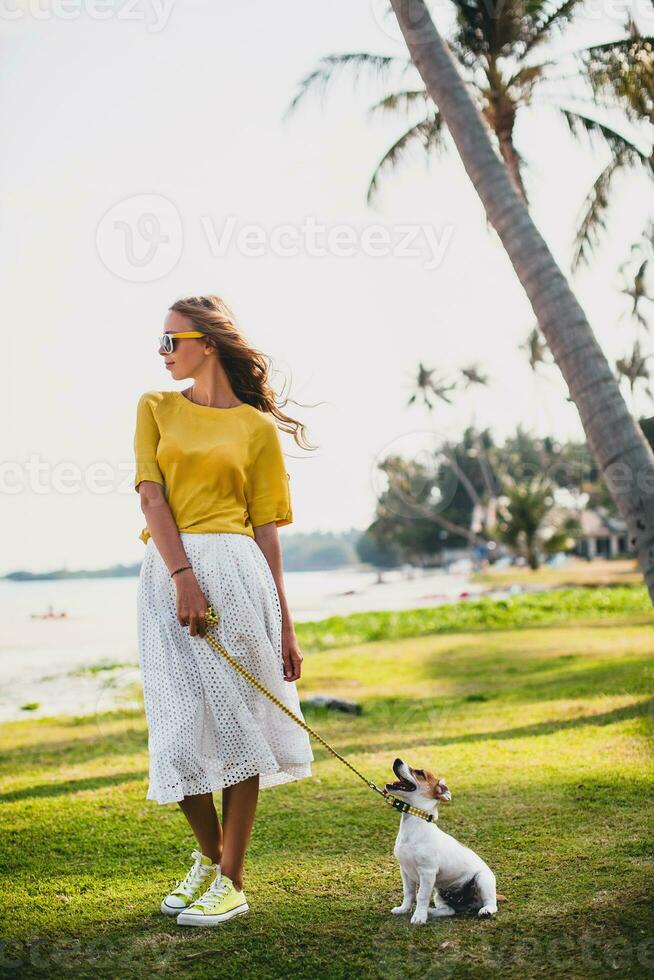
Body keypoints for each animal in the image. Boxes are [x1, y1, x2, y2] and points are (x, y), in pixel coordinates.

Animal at [386, 756, 500, 924]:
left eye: (420, 773)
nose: (397, 759)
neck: (415, 824)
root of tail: (466, 904)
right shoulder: (405, 871)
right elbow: (408, 893)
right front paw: (404, 909)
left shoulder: (427, 873)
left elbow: (421, 895)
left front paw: (419, 917)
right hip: (439, 894)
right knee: (449, 911)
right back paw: (431, 912)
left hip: (483, 879)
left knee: (491, 903)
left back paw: (486, 910)